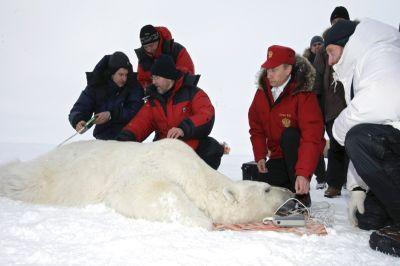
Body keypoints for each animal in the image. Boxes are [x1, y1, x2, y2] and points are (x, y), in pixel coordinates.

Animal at [0, 139, 294, 229]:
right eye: (267, 188)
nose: (290, 191)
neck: (195, 171)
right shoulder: (152, 166)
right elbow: (150, 191)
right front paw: (201, 220)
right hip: (51, 175)